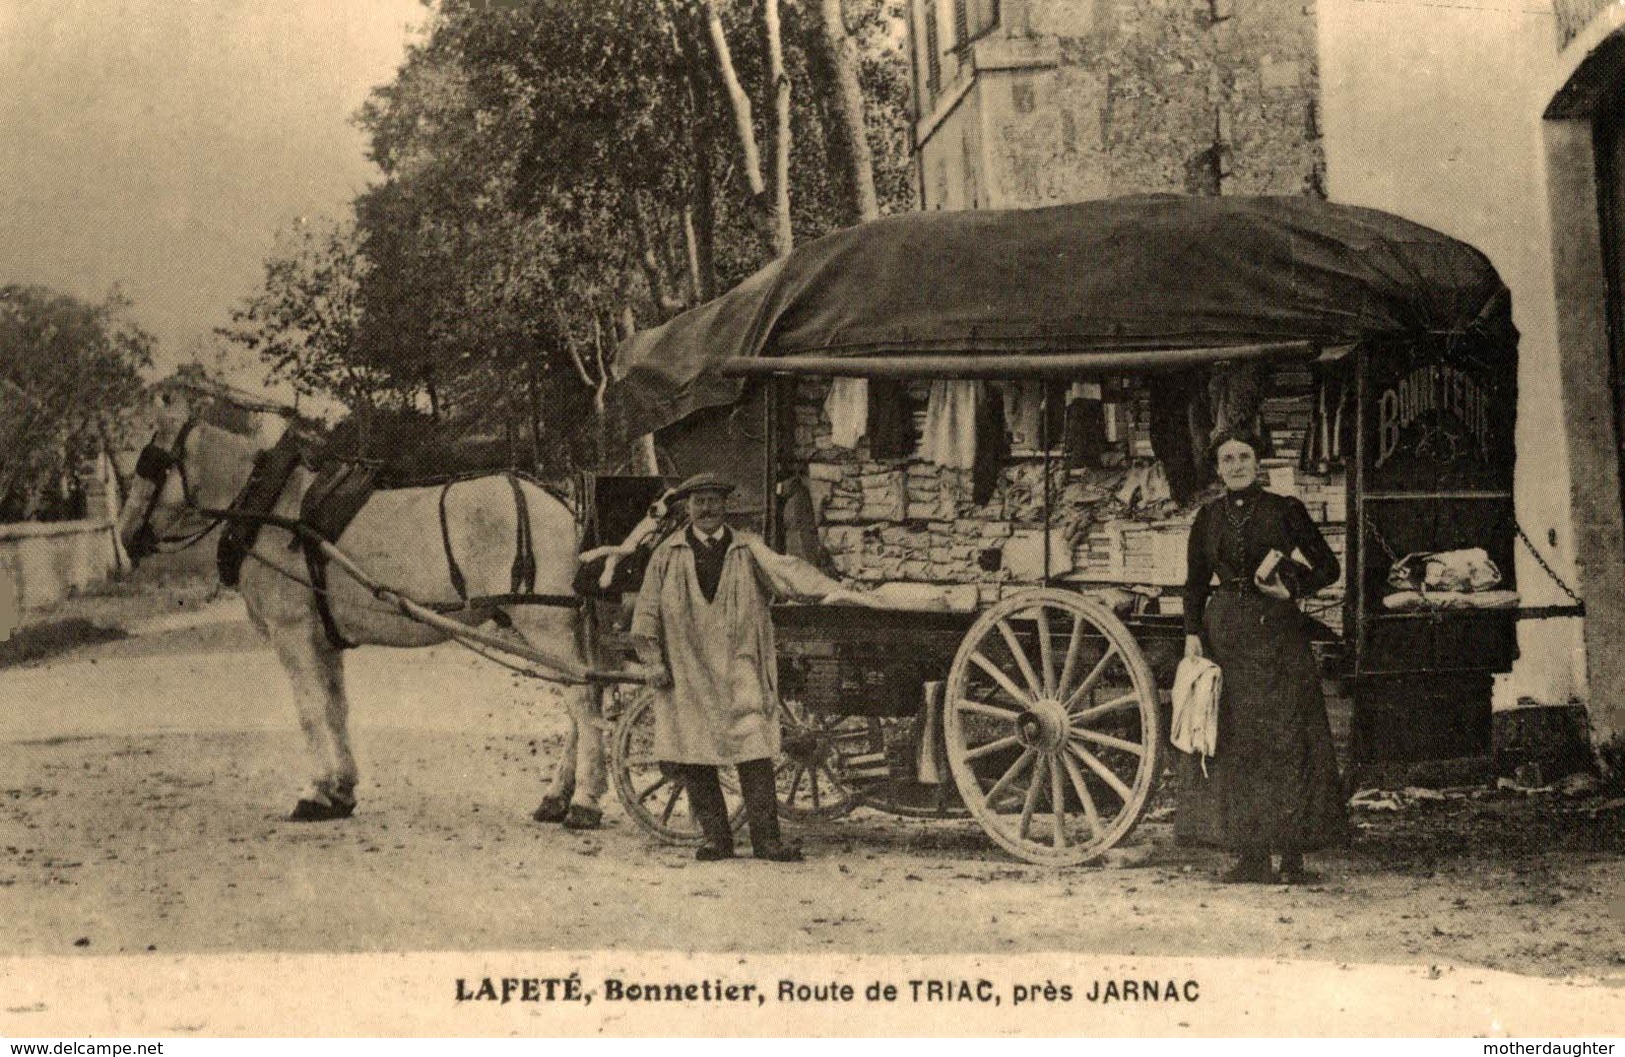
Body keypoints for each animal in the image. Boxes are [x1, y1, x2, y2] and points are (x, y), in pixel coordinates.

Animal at [116, 400, 659, 826]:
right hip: (546, 627)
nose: (122, 539)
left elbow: (309, 712)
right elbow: (334, 709)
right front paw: (340, 790)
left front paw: (314, 792)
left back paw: (585, 802)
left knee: (583, 703)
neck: (272, 510)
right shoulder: (323, 637)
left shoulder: (292, 634)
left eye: (151, 465)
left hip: (544, 625)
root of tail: (562, 505)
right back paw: (556, 798)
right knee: (580, 704)